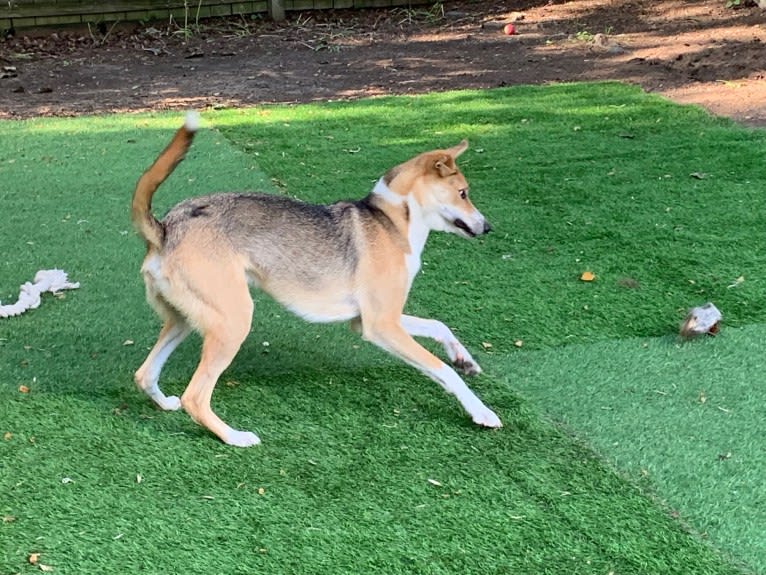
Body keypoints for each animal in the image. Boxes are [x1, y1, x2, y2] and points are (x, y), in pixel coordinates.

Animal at [132, 111, 504, 446]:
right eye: (463, 193)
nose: (487, 227)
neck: (390, 220)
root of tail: (166, 229)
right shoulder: (382, 326)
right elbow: (442, 370)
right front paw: (481, 411)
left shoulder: (375, 320)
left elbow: (440, 327)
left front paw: (465, 359)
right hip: (233, 321)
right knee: (195, 397)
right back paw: (235, 437)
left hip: (186, 319)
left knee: (145, 374)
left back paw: (165, 402)